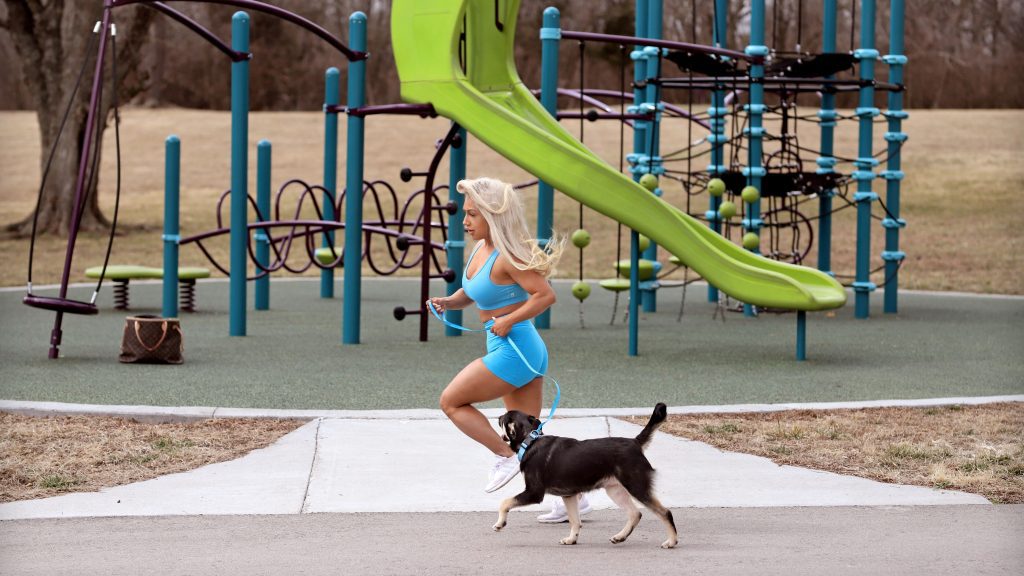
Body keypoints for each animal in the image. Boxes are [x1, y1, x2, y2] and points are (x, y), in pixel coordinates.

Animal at [495, 401, 679, 545]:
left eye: (505, 418)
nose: (498, 416)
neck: (530, 441)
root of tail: (635, 442)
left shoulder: (534, 493)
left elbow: (504, 502)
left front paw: (500, 523)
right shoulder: (568, 495)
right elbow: (575, 521)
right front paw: (572, 539)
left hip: (637, 487)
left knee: (665, 512)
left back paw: (671, 541)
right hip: (615, 490)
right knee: (635, 514)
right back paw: (620, 537)